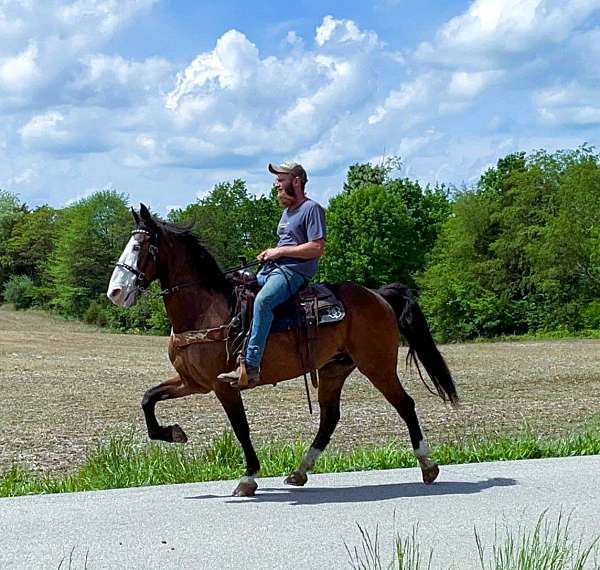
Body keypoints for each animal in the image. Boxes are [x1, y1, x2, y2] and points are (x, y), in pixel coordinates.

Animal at [105, 203, 458, 492]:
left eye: (141, 246)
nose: (115, 292)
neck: (205, 308)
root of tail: (378, 295)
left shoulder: (223, 385)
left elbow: (241, 428)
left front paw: (248, 477)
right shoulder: (192, 382)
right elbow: (148, 399)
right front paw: (173, 433)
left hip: (377, 364)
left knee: (405, 404)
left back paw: (428, 466)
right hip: (334, 369)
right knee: (330, 417)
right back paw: (300, 471)